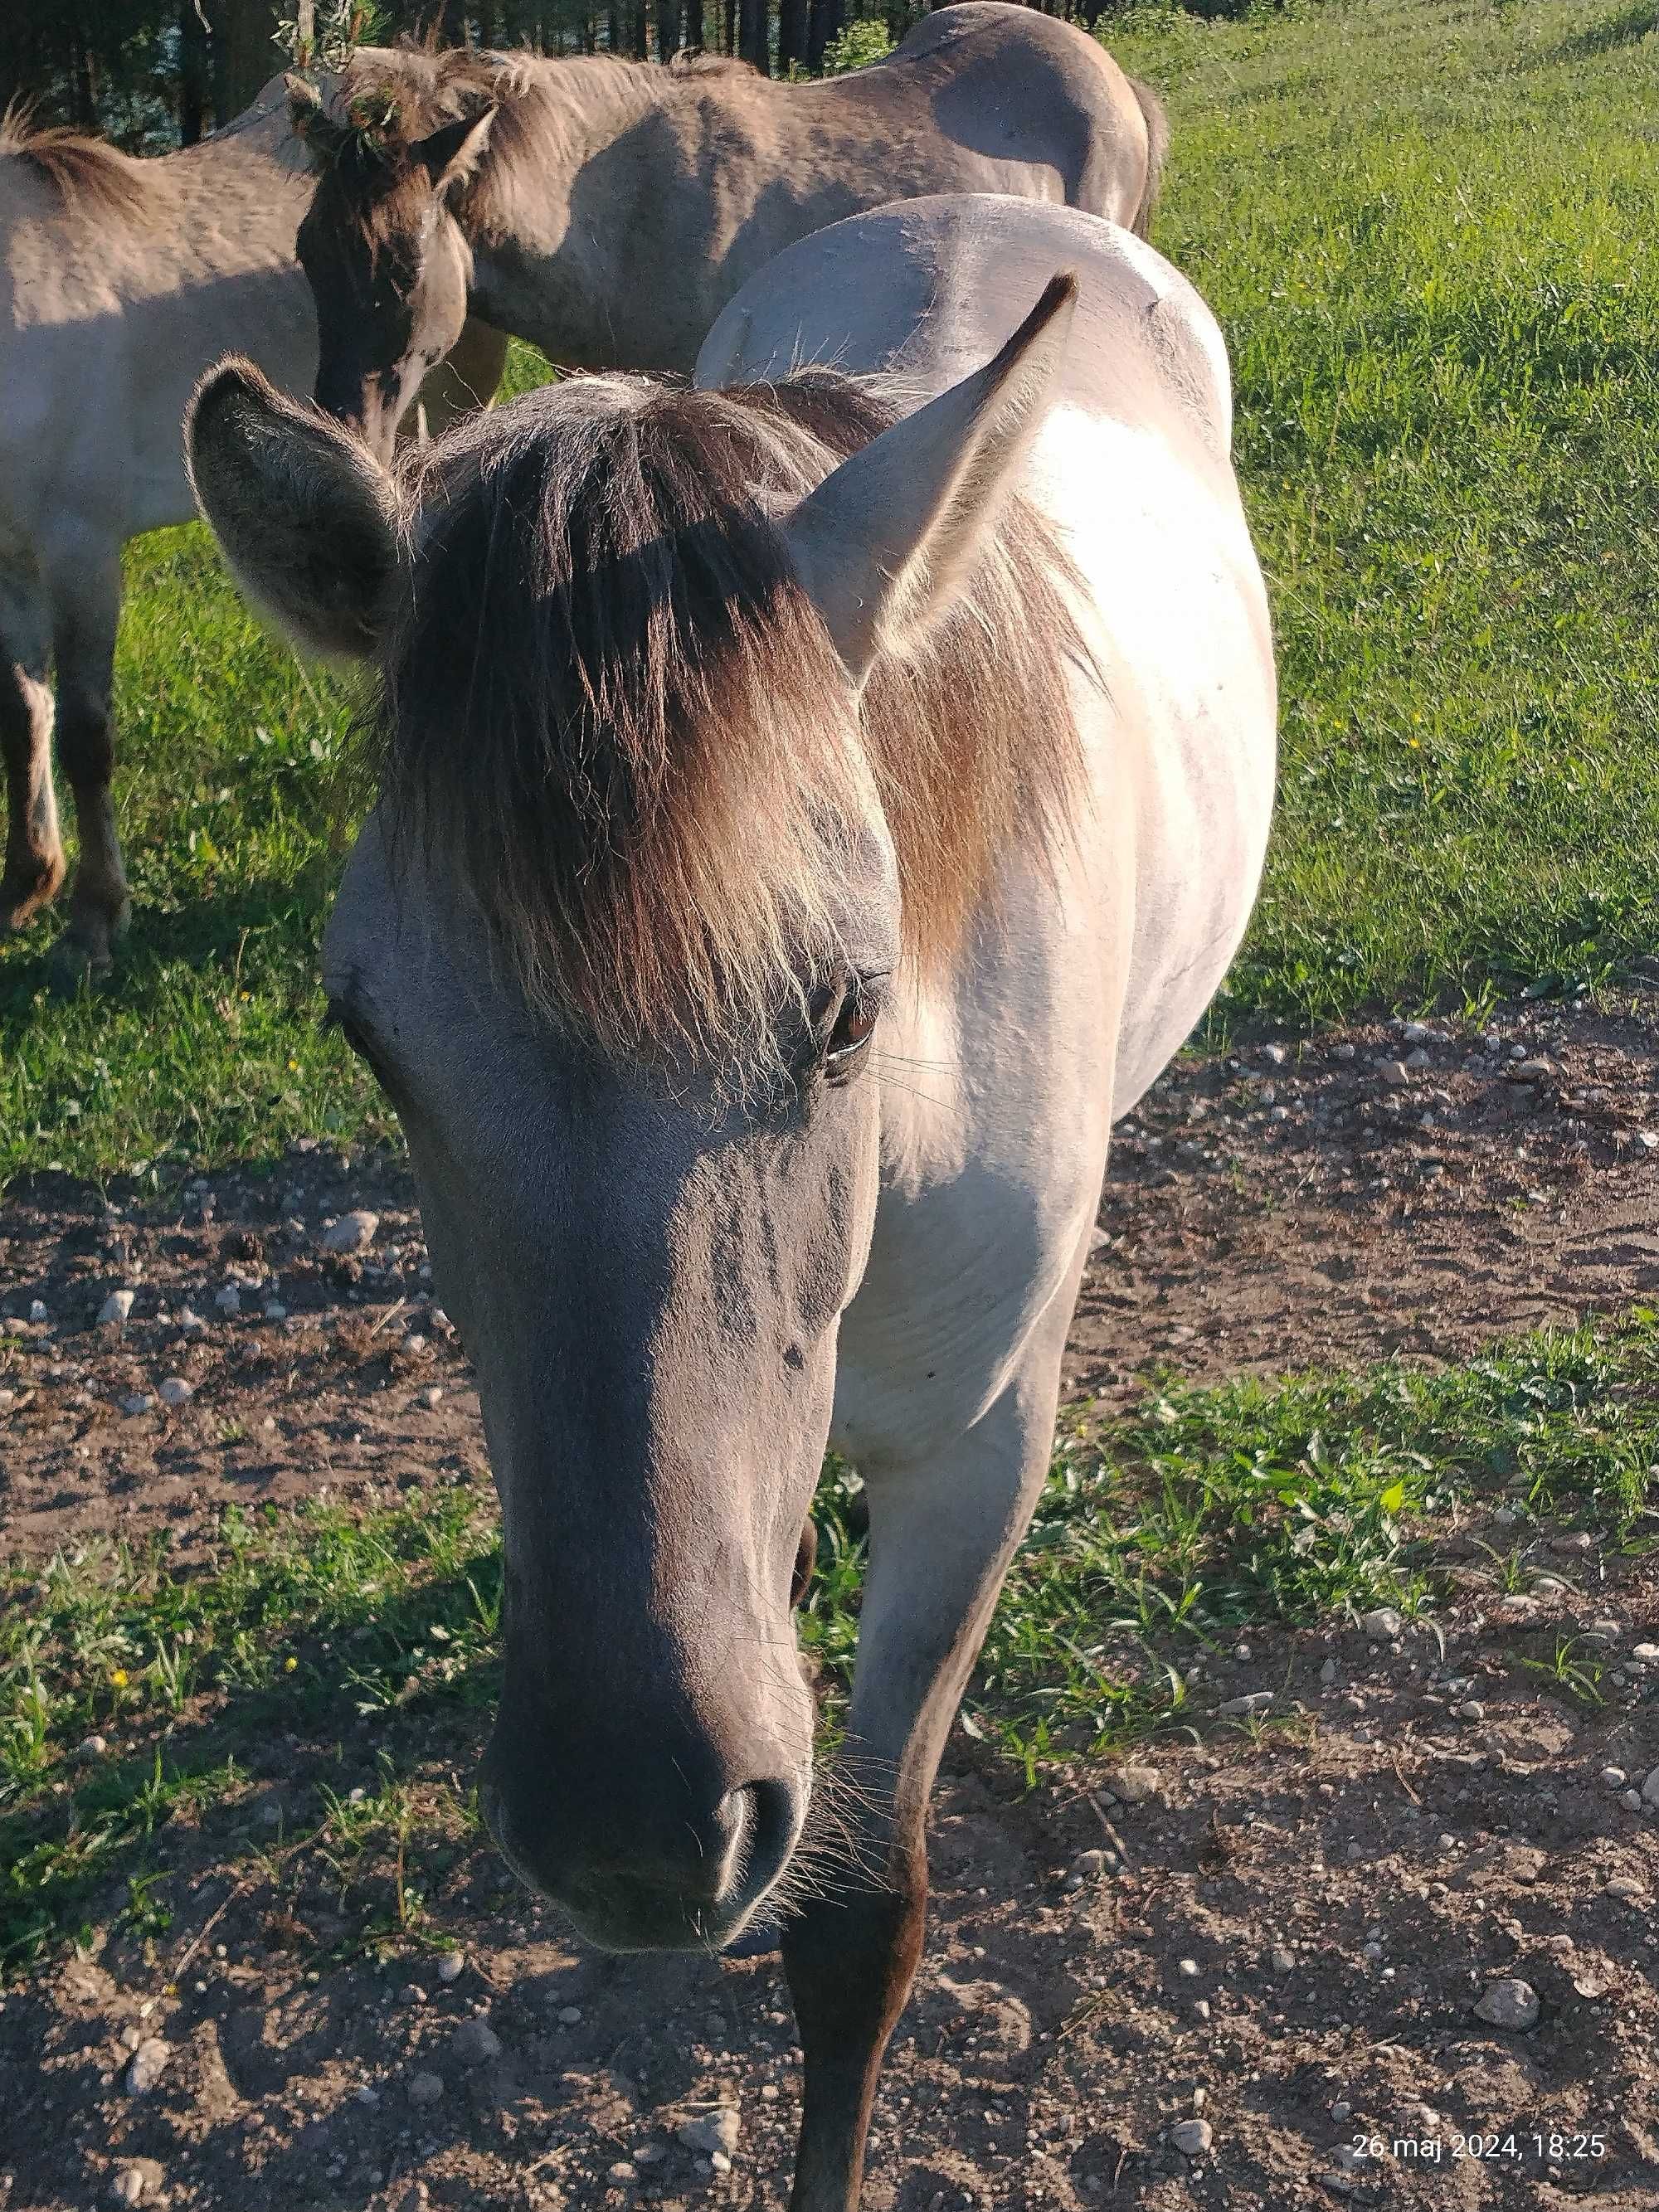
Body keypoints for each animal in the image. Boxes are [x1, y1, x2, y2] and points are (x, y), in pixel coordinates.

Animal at [0, 88, 506, 969]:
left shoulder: (79, 549)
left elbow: (86, 737)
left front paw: (95, 920)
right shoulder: (11, 560)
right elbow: (24, 716)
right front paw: (28, 881)